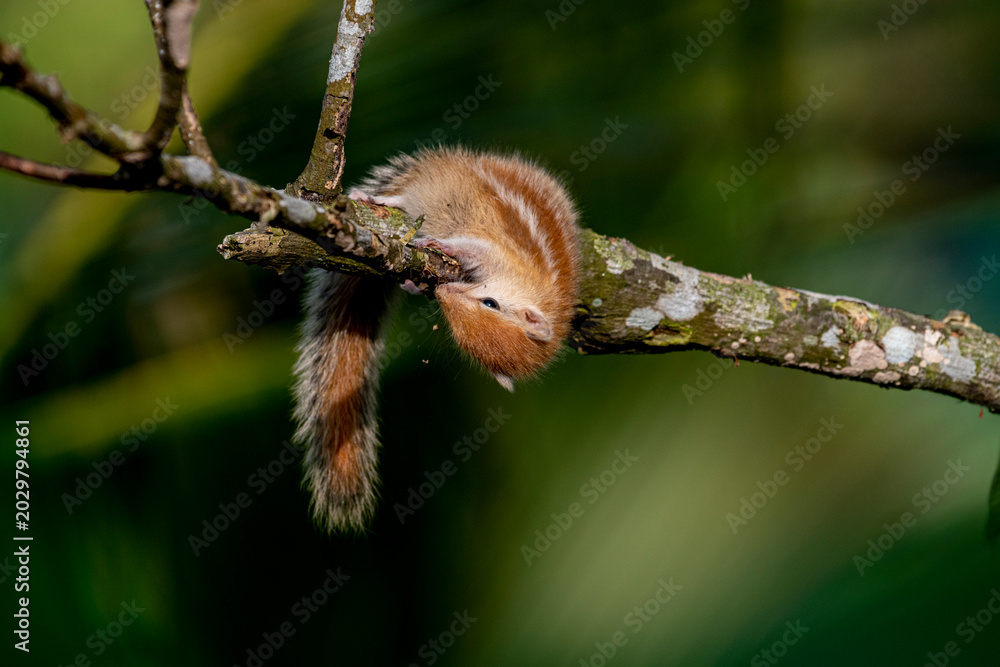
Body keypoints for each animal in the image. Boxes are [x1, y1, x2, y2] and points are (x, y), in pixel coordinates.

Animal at [292, 146, 581, 532]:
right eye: (490, 302)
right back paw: (373, 199)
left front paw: (420, 281)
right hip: (429, 189)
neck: (537, 291)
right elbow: (465, 247)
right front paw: (435, 244)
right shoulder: (491, 253)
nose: (443, 292)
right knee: (399, 200)